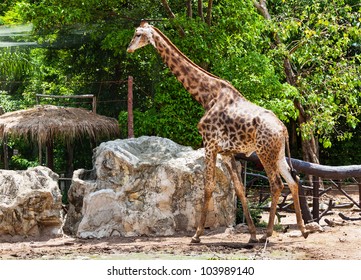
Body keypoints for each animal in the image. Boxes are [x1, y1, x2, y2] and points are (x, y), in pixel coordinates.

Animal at [125, 20, 308, 243]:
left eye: (137, 34)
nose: (129, 48)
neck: (206, 95)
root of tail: (283, 129)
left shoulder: (209, 144)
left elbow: (209, 186)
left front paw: (196, 235)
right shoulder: (227, 153)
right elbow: (239, 190)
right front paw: (251, 235)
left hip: (265, 153)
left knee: (277, 185)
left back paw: (268, 233)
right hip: (278, 154)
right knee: (292, 182)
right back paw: (302, 230)